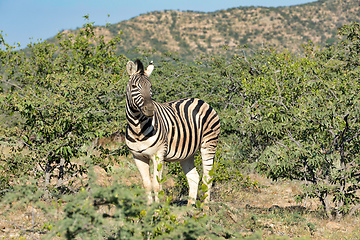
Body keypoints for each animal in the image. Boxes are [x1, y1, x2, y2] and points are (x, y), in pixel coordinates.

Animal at [124, 59, 219, 204]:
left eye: (150, 86)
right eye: (134, 86)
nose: (150, 109)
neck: (137, 128)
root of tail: (200, 100)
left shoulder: (158, 155)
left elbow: (157, 185)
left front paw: (158, 209)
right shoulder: (138, 157)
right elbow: (146, 184)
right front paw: (149, 208)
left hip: (209, 144)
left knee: (208, 178)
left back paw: (205, 207)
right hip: (188, 153)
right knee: (194, 177)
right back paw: (190, 208)